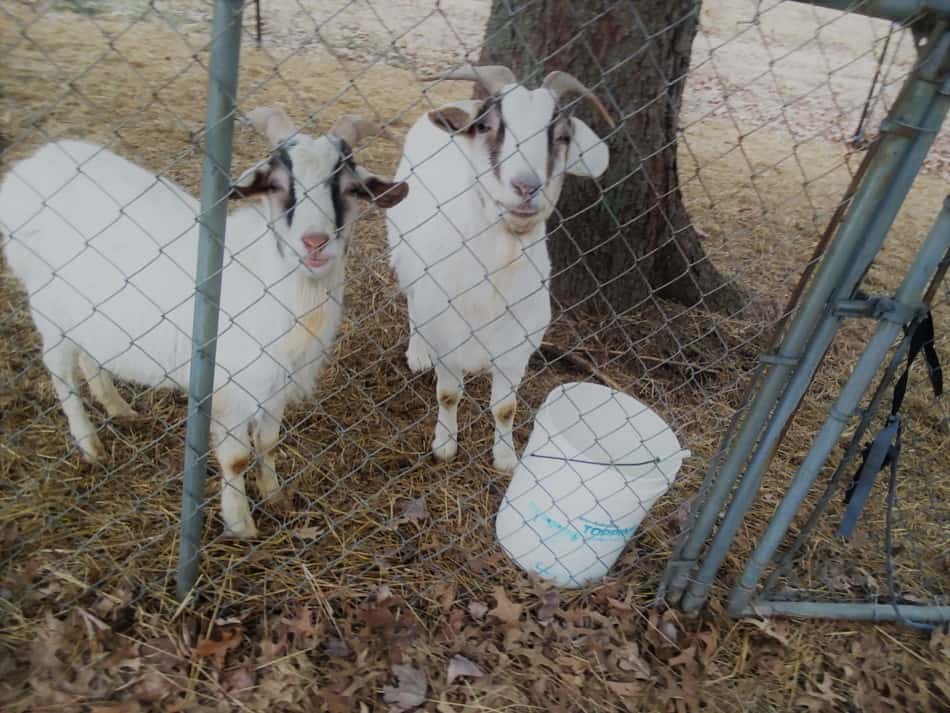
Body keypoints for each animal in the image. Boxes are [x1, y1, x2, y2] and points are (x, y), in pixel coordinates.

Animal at [388, 62, 616, 472]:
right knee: (412, 299)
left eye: (561, 136)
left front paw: (506, 457)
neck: (496, 277)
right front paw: (444, 445)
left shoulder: (517, 347)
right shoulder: (448, 338)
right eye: (486, 127)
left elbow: (505, 408)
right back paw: (417, 353)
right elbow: (448, 395)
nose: (526, 187)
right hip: (403, 250)